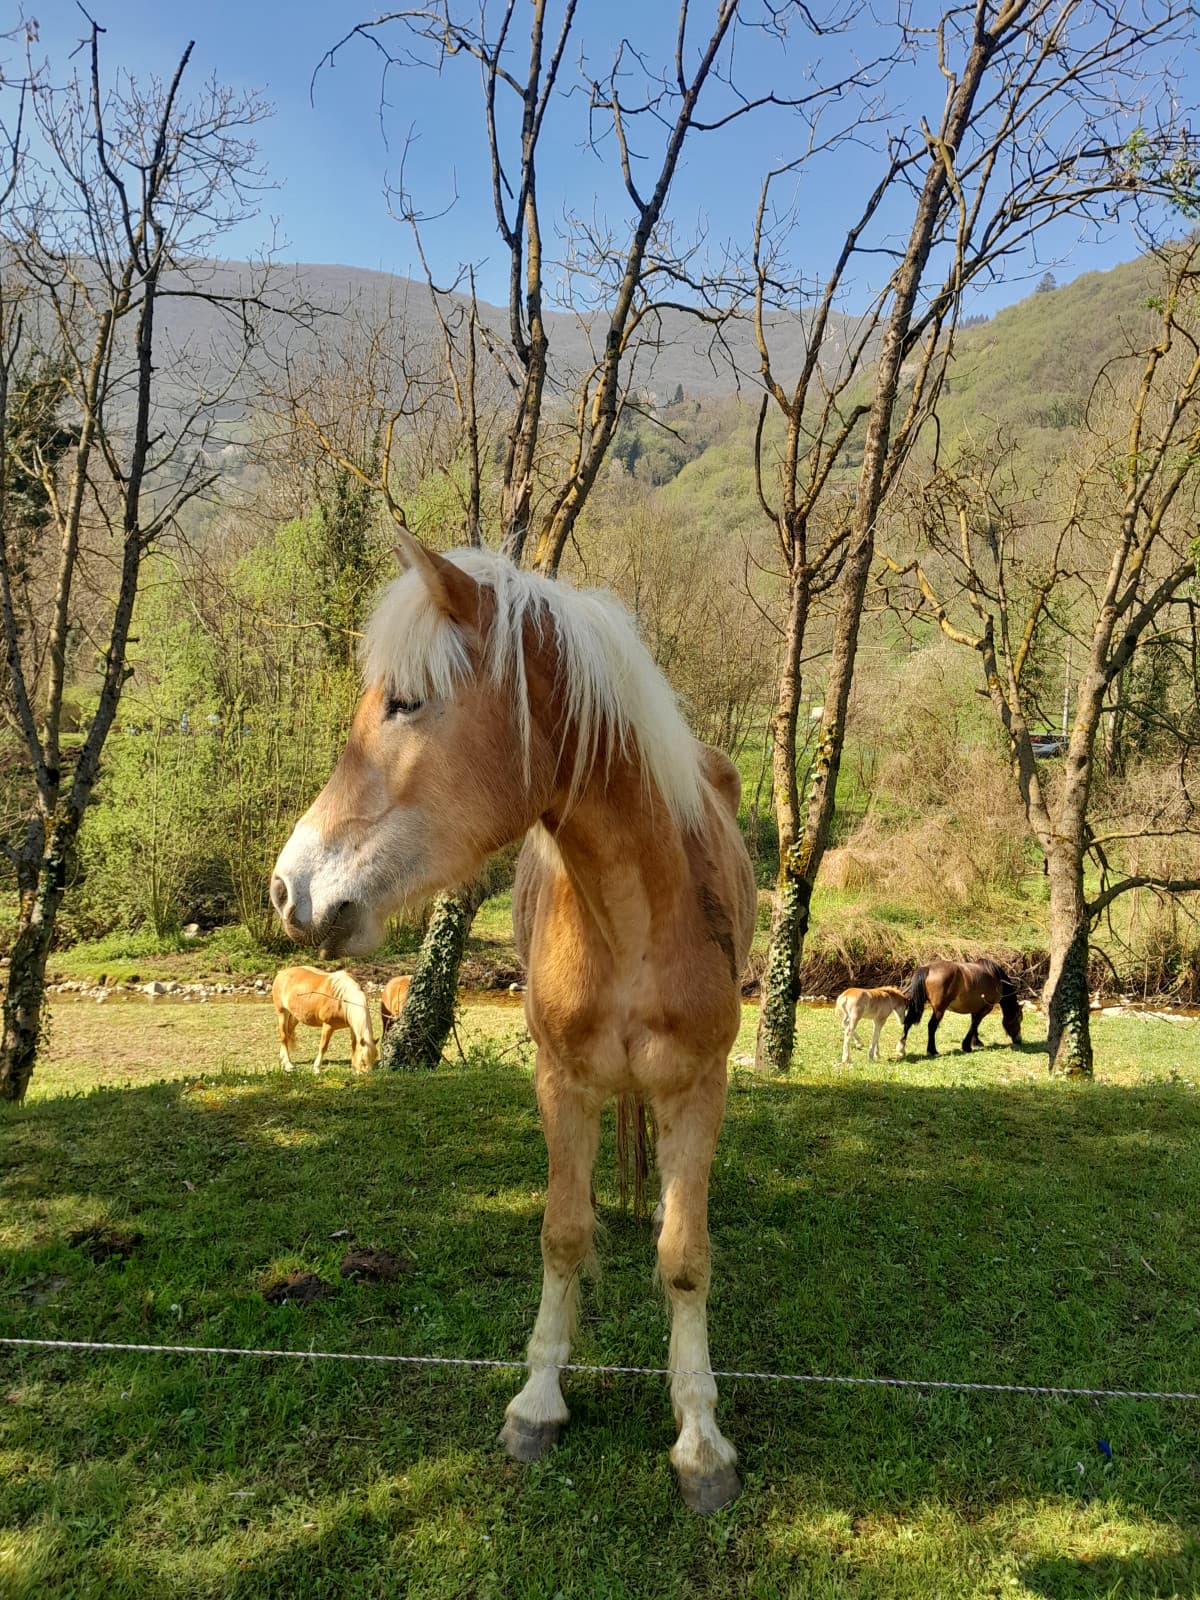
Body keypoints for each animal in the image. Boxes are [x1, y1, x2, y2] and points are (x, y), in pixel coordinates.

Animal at [270, 535, 755, 1513]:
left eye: (405, 702)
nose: (284, 889)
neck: (635, 917)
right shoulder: (560, 1083)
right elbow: (561, 1233)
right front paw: (537, 1404)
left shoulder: (697, 1087)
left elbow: (685, 1257)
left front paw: (700, 1442)